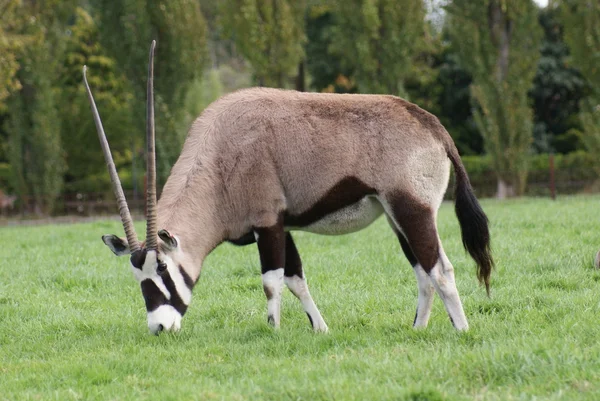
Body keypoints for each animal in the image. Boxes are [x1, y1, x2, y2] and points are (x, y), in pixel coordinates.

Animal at [83, 41, 492, 334]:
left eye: (165, 270)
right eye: (138, 277)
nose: (159, 327)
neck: (220, 154)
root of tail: (432, 126)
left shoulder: (268, 224)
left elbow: (271, 280)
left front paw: (274, 330)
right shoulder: (282, 226)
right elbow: (296, 279)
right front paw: (320, 329)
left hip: (413, 209)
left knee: (441, 270)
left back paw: (462, 330)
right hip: (395, 216)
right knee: (423, 271)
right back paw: (417, 329)